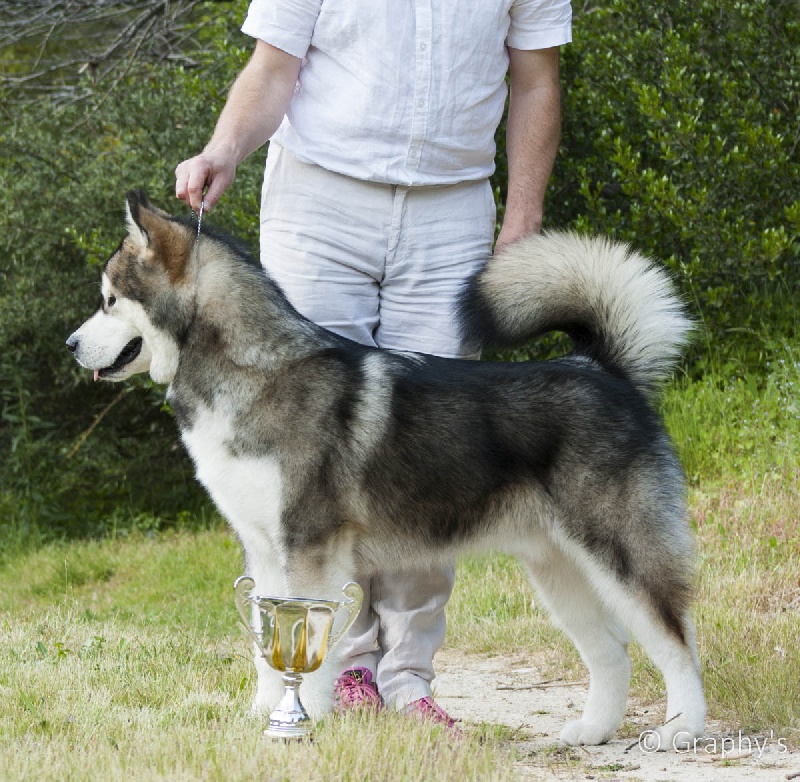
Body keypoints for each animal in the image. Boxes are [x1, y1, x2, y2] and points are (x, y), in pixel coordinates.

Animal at [67, 190, 705, 749]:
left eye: (109, 300)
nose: (70, 344)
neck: (254, 373)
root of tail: (601, 369)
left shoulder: (310, 551)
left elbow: (305, 647)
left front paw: (304, 723)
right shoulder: (265, 551)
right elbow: (267, 650)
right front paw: (262, 717)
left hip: (621, 554)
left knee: (677, 642)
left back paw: (681, 730)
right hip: (556, 568)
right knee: (612, 650)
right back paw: (593, 731)